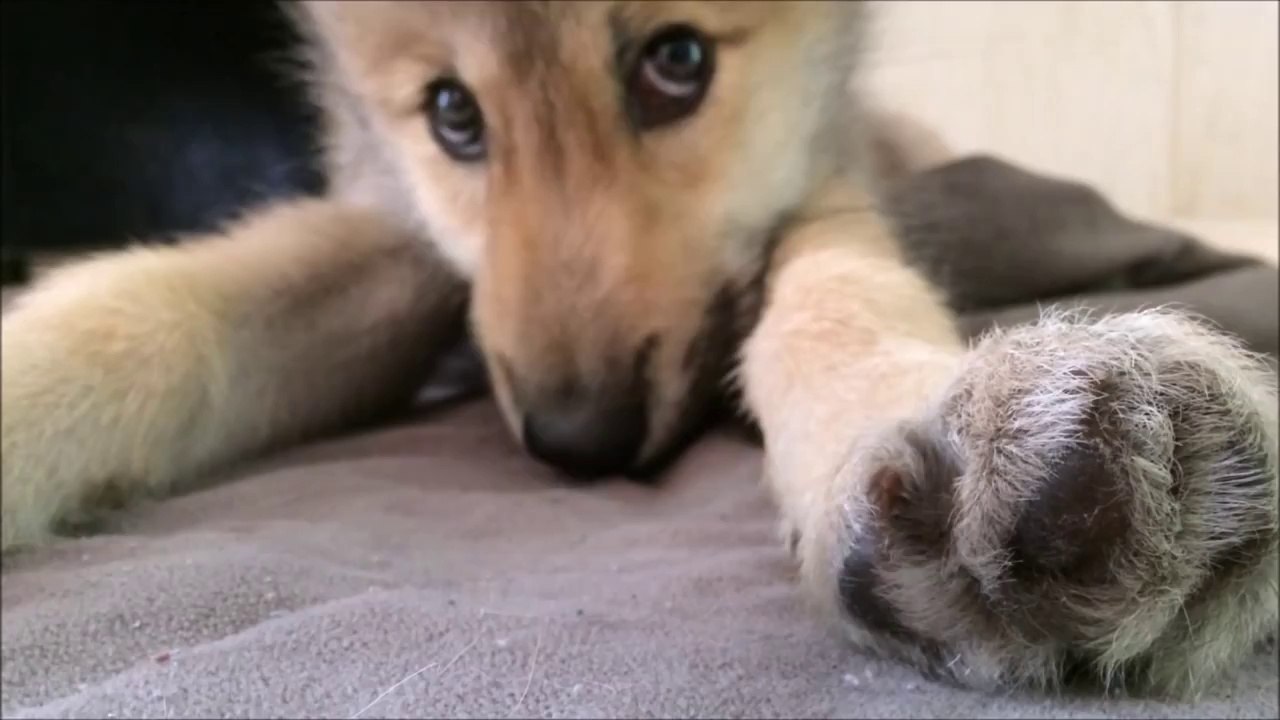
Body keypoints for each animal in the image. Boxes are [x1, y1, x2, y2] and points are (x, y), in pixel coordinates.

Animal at [2, 1, 1275, 699]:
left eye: (677, 61)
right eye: (452, 114)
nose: (578, 444)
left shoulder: (816, 189)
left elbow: (837, 297)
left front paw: (924, 435)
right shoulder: (398, 242)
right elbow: (165, 302)